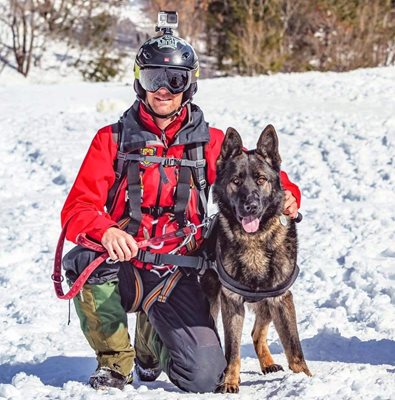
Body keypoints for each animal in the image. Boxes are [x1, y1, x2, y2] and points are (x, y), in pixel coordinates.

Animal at [203, 126, 310, 394]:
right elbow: (232, 350)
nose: (250, 206)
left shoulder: (281, 299)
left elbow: (294, 347)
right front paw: (230, 381)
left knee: (256, 332)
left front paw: (305, 379)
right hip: (212, 303)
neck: (255, 240)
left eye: (261, 179)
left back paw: (268, 363)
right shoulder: (231, 302)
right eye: (236, 181)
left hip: (267, 304)